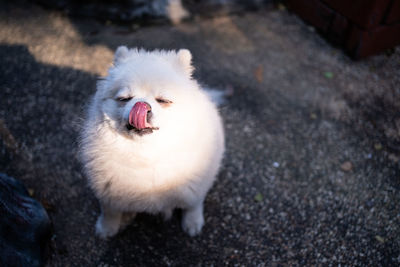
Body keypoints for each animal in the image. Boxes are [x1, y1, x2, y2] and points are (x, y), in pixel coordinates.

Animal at [79, 46, 225, 239]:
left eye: (163, 100)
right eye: (124, 99)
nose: (141, 105)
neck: (146, 153)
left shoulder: (196, 186)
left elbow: (193, 204)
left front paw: (193, 222)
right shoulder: (108, 190)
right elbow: (110, 211)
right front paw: (107, 228)